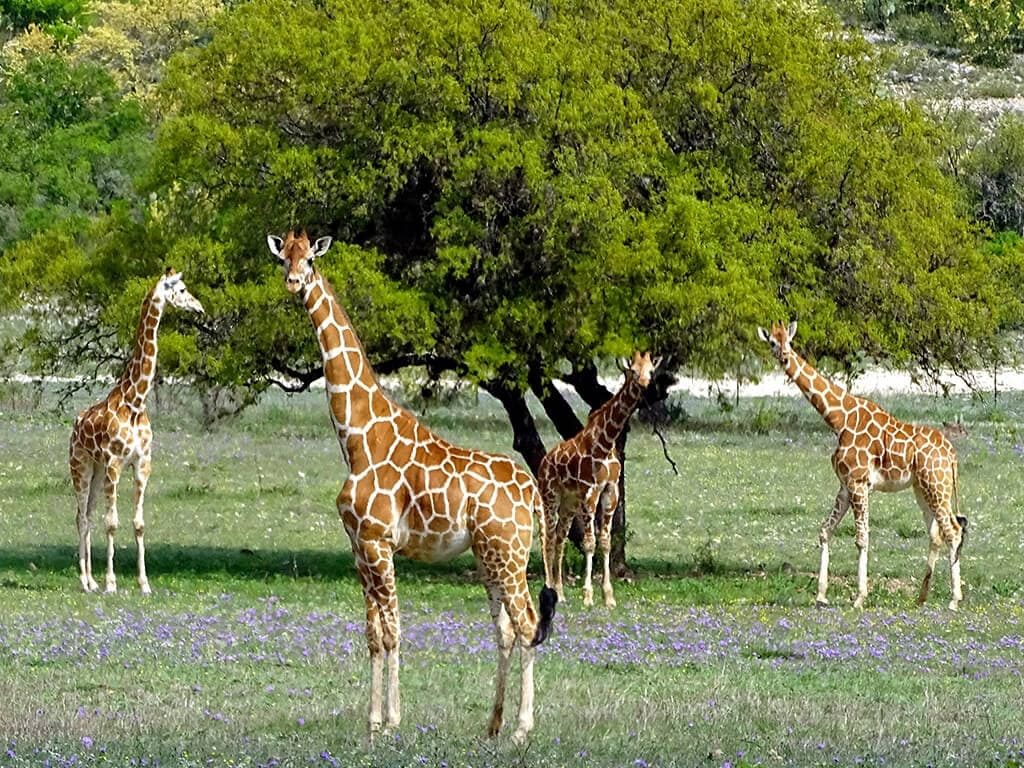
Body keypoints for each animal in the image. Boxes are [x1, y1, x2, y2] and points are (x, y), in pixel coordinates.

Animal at [68, 268, 203, 593]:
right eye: (181, 289)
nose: (199, 308)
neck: (135, 401)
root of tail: (75, 424)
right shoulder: (115, 464)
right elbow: (112, 523)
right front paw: (111, 583)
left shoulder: (142, 464)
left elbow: (138, 524)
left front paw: (144, 583)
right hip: (81, 466)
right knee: (81, 517)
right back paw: (85, 580)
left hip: (97, 471)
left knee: (86, 514)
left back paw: (90, 580)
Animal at [268, 230, 557, 745]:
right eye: (284, 257)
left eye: (311, 260)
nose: (294, 283)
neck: (357, 437)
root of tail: (531, 493)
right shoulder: (358, 546)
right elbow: (372, 634)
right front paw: (372, 720)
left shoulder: (379, 542)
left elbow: (394, 630)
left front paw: (392, 720)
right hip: (491, 557)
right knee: (505, 630)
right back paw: (493, 724)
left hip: (508, 555)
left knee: (526, 625)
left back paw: (522, 728)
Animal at [540, 352, 659, 610]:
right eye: (633, 370)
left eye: (651, 370)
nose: (645, 386)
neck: (606, 443)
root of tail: (545, 460)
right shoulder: (590, 492)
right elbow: (588, 542)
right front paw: (588, 595)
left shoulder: (610, 491)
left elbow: (605, 541)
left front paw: (608, 596)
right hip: (550, 495)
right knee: (549, 538)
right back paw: (549, 588)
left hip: (569, 502)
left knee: (561, 538)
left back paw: (560, 593)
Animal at [753, 321, 966, 610]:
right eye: (773, 342)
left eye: (789, 341)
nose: (784, 357)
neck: (837, 419)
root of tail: (951, 454)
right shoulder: (845, 485)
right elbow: (825, 531)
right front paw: (821, 595)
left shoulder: (859, 483)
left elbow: (862, 538)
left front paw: (859, 597)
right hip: (923, 489)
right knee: (936, 534)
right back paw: (921, 597)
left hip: (937, 486)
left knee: (953, 531)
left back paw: (954, 600)